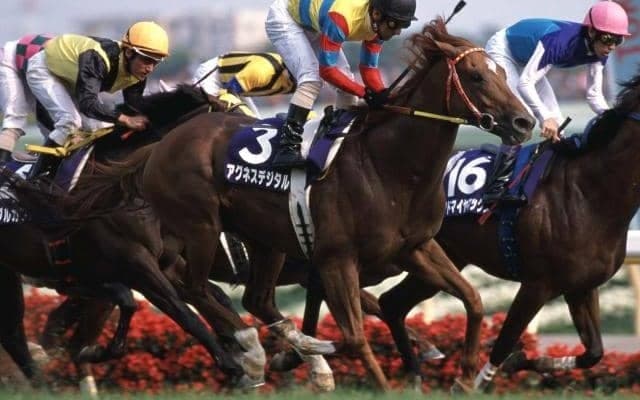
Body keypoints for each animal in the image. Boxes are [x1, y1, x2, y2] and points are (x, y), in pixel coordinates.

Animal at [0, 85, 263, 389]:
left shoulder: (165, 261)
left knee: (14, 332)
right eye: (235, 124)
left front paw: (247, 351)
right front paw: (235, 367)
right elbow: (184, 313)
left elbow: (210, 298)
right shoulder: (136, 264)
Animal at [63, 19, 534, 390]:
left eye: (500, 72)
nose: (523, 121)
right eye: (475, 76)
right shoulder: (336, 259)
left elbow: (472, 299)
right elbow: (355, 336)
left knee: (252, 298)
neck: (389, 167)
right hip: (200, 226)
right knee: (194, 288)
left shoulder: (415, 247)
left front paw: (464, 376)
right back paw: (250, 351)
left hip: (265, 240)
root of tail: (162, 144)